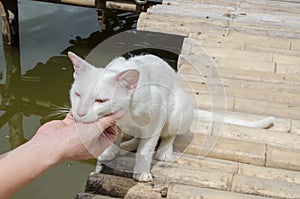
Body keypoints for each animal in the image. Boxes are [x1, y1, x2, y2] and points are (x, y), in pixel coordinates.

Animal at [68, 51, 274, 182]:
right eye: (77, 94)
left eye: (100, 100)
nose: (80, 113)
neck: (125, 114)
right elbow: (116, 136)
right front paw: (111, 150)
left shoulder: (158, 116)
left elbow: (146, 149)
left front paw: (141, 173)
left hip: (176, 110)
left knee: (168, 135)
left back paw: (164, 151)